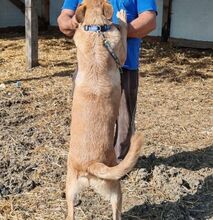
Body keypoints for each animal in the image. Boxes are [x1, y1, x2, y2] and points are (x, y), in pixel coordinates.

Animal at [66, 0, 143, 219]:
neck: (96, 31)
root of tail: (90, 165)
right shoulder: (120, 51)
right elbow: (123, 30)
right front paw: (122, 17)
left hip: (70, 190)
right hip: (115, 189)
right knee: (116, 211)